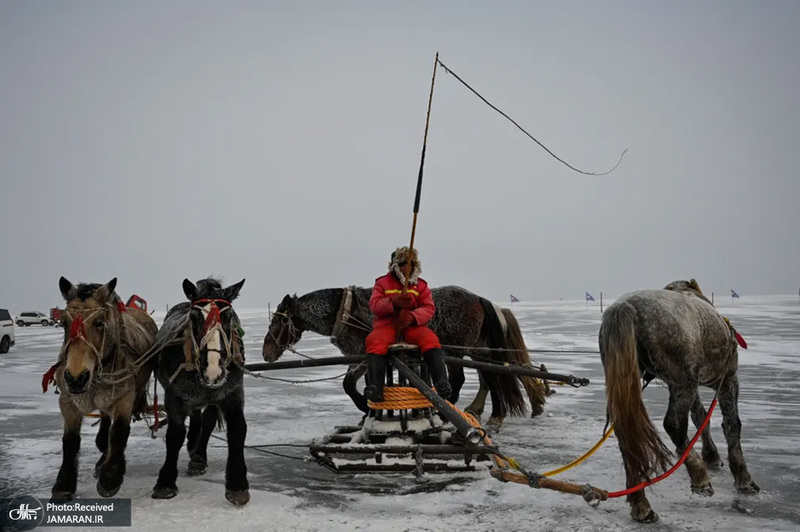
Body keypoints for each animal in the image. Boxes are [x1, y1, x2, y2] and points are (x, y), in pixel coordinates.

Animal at [50, 278, 158, 498]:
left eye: (99, 323)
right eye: (63, 323)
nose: (76, 378)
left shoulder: (125, 397)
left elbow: (118, 433)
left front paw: (111, 477)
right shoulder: (67, 401)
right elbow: (70, 441)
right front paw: (64, 483)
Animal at [150, 276, 250, 504]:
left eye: (228, 317)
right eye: (195, 317)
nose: (213, 370)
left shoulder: (232, 392)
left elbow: (237, 430)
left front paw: (237, 483)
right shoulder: (174, 397)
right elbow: (175, 435)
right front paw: (166, 482)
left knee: (208, 420)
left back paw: (198, 456)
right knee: (196, 416)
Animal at [260, 282, 548, 428]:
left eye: (278, 321)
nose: (266, 352)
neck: (344, 312)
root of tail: (478, 298)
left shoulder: (362, 354)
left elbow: (349, 385)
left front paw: (364, 407)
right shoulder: (362, 357)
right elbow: (362, 383)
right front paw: (368, 410)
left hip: (457, 347)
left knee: (466, 379)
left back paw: (449, 412)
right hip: (476, 348)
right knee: (490, 374)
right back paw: (491, 412)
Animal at [600, 280, 764, 520]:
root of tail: (625, 307)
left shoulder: (692, 383)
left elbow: (700, 417)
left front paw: (712, 455)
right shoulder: (727, 380)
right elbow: (731, 424)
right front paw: (743, 478)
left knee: (627, 435)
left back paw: (641, 504)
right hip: (683, 382)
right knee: (674, 425)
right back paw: (699, 476)